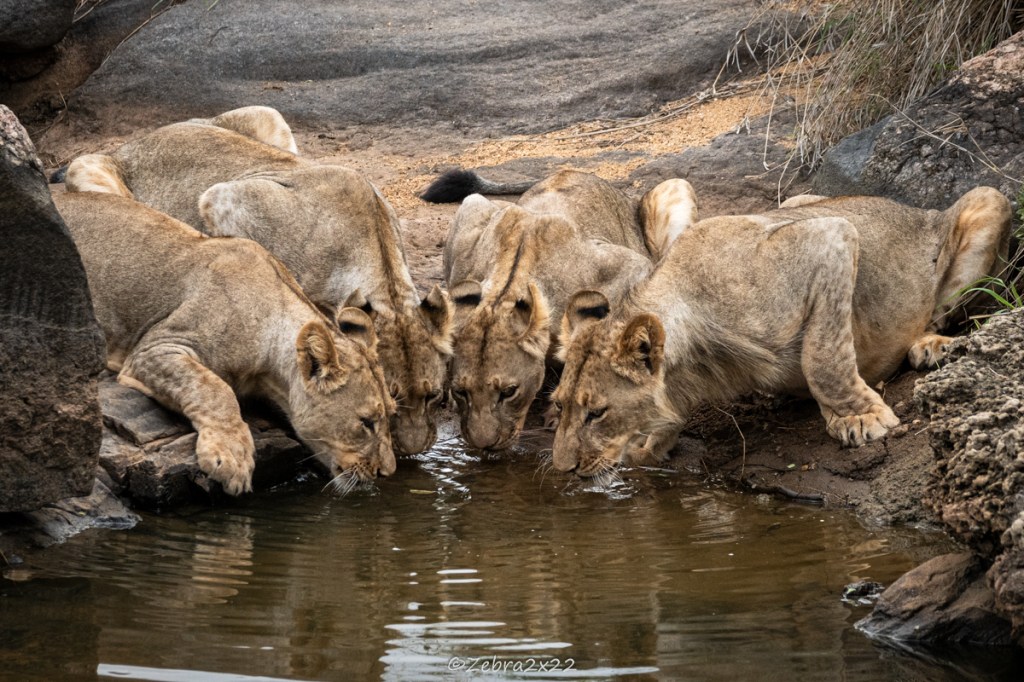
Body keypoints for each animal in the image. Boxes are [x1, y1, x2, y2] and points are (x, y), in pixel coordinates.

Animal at [53, 190, 398, 495]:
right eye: (367, 423)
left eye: (391, 415)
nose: (388, 472)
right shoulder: (156, 347)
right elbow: (213, 389)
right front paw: (230, 458)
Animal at [61, 106, 452, 456]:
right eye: (394, 397)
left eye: (432, 396)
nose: (412, 451)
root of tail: (136, 141)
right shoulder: (220, 199)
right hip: (90, 172)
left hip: (270, 115)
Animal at [422, 168, 697, 450]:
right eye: (461, 391)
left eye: (508, 392)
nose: (483, 446)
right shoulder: (470, 221)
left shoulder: (631, 266)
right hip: (477, 202)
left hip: (676, 189)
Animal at [550, 187, 1011, 476]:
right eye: (559, 406)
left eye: (597, 412)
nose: (562, 469)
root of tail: (917, 208)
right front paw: (650, 446)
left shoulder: (830, 236)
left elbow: (822, 356)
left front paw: (860, 417)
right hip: (799, 198)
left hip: (989, 201)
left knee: (940, 311)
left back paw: (929, 346)